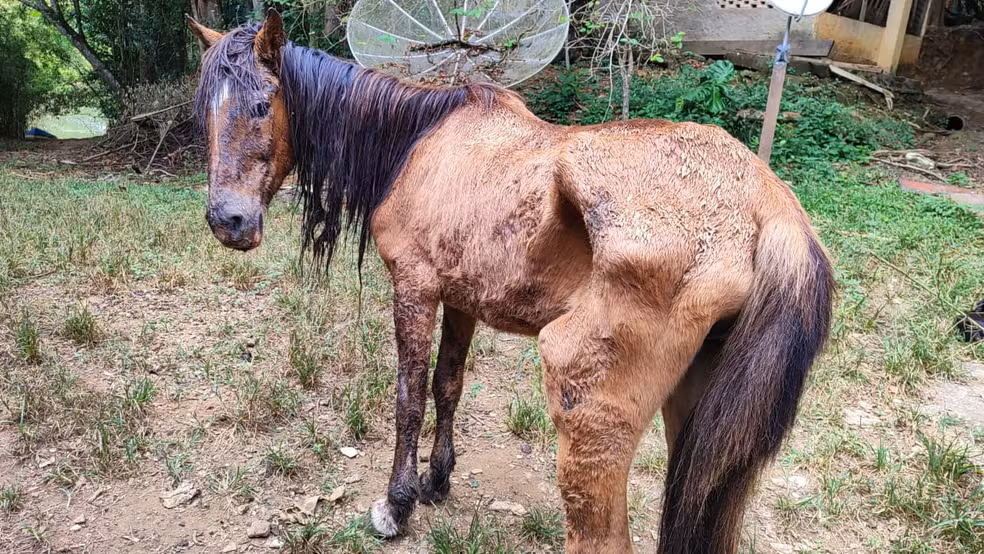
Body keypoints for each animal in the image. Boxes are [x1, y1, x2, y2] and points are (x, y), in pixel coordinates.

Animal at [187, 10, 834, 553]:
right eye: (205, 112)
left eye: (262, 105)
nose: (227, 221)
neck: (419, 143)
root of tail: (768, 201)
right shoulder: (462, 300)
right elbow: (447, 386)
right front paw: (437, 480)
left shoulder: (415, 290)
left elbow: (409, 399)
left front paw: (398, 504)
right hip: (698, 427)